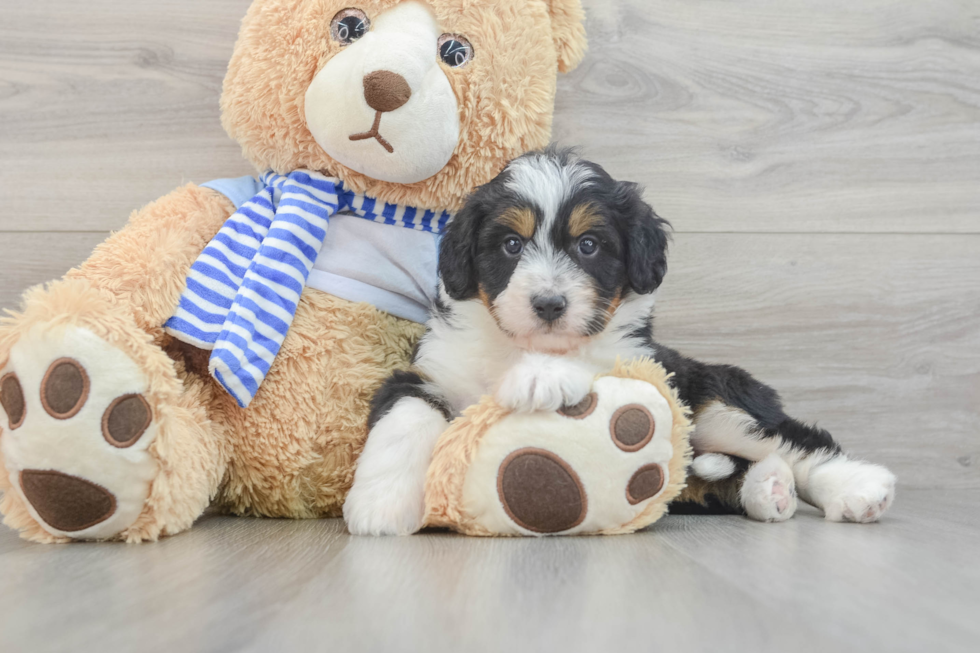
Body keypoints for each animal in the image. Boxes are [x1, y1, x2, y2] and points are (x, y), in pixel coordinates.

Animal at [342, 149, 896, 536]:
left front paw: (541, 376)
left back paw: (854, 488)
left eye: (589, 245)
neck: (517, 344)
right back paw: (769, 491)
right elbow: (406, 416)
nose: (549, 304)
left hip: (713, 397)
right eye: (511, 244)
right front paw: (382, 504)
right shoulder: (431, 370)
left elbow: (592, 362)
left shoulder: (640, 362)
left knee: (794, 442)